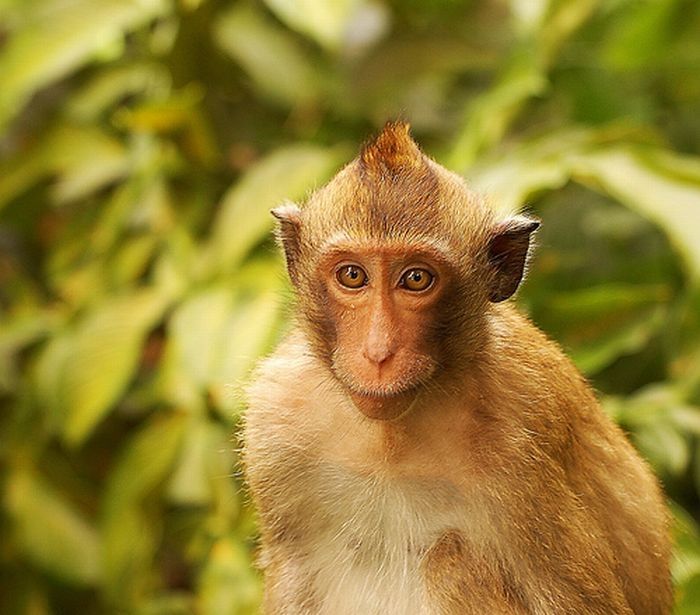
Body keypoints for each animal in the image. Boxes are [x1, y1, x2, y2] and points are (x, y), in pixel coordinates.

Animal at [242, 121, 672, 615]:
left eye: (416, 278)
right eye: (352, 275)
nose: (377, 352)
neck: (391, 437)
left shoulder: (523, 439)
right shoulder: (275, 418)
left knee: (451, 559)